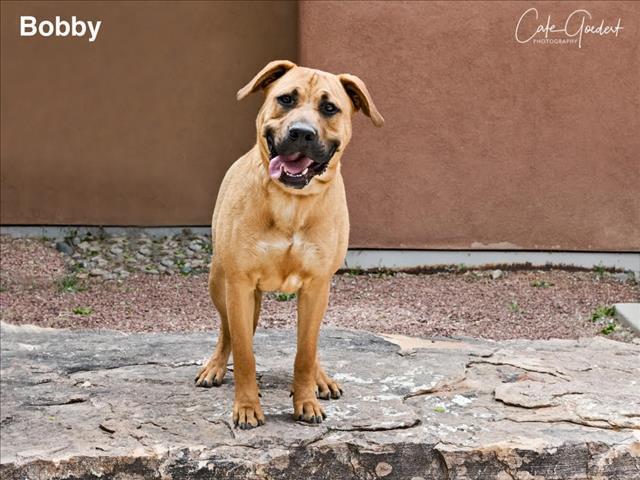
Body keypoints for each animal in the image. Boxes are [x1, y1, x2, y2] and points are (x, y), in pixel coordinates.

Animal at [194, 59, 384, 428]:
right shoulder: (239, 285)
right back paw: (215, 366)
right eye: (285, 99)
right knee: (227, 331)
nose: (302, 133)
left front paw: (306, 399)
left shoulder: (317, 286)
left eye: (329, 108)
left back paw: (321, 379)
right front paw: (247, 406)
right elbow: (245, 353)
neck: (291, 203)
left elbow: (305, 353)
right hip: (219, 282)